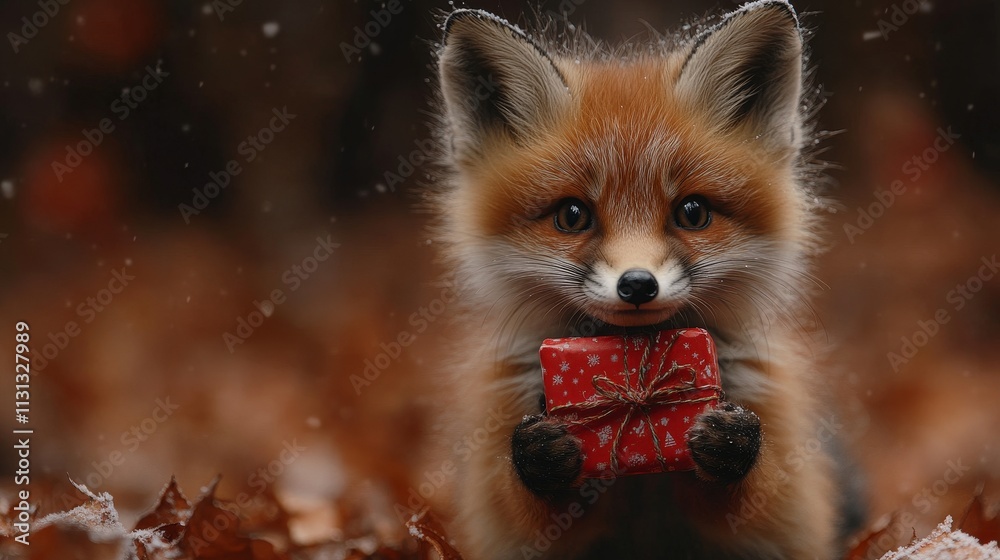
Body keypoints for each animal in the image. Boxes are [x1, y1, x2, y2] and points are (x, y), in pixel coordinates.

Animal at [427, 1, 863, 558]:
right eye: (572, 215)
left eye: (693, 212)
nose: (637, 284)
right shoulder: (504, 510)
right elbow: (523, 512)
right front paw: (538, 455)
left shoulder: (787, 507)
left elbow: (759, 501)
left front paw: (734, 445)